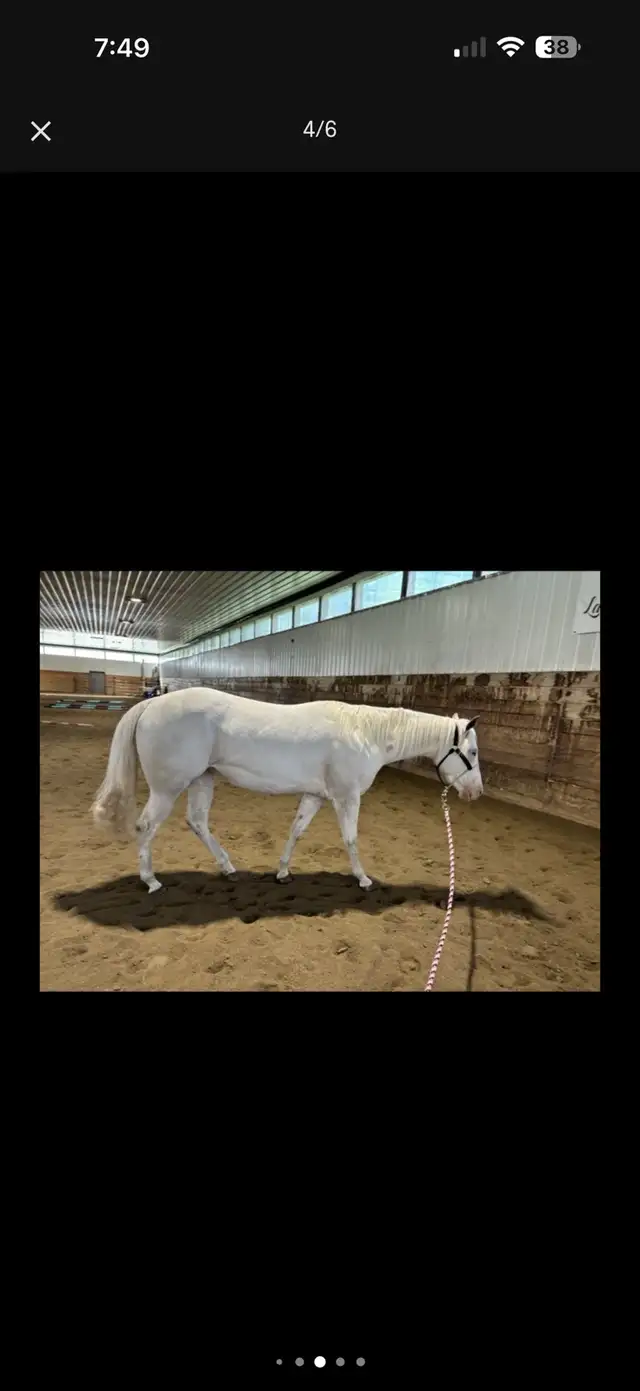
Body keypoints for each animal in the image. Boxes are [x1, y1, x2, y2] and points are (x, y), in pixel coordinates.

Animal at [91, 687, 483, 893]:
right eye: (475, 752)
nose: (476, 792)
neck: (364, 733)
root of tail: (152, 703)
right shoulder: (346, 797)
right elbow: (351, 839)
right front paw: (363, 878)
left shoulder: (315, 796)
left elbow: (297, 831)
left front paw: (282, 872)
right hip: (168, 788)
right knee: (146, 827)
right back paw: (151, 880)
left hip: (202, 779)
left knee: (197, 822)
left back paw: (228, 867)